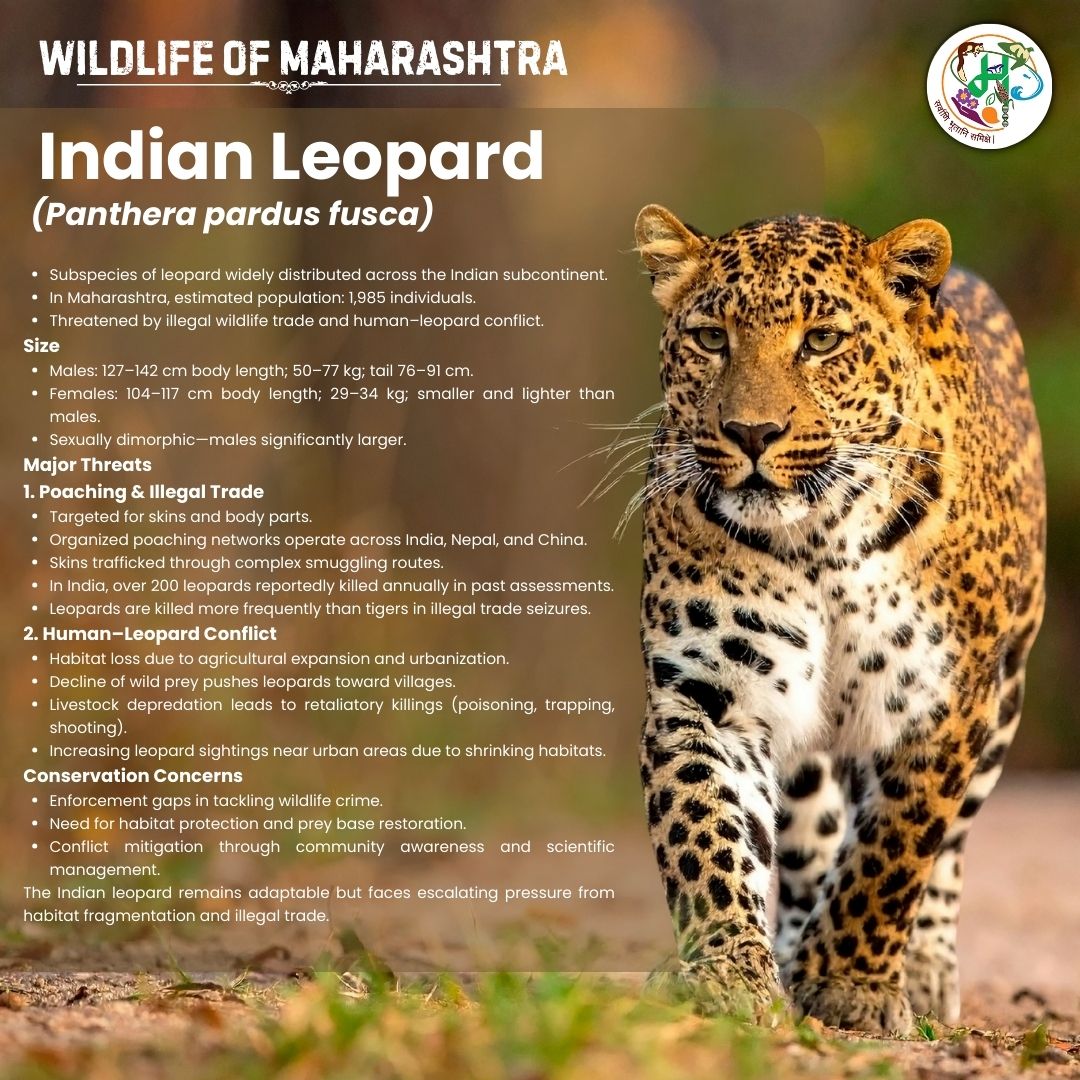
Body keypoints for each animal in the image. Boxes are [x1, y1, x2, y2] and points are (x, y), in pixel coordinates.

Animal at [633, 204, 1045, 1034]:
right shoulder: (708, 693)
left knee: (948, 852)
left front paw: (851, 983)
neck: (820, 537)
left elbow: (895, 852)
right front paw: (729, 972)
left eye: (821, 340)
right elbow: (704, 829)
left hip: (1004, 701)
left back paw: (922, 973)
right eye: (711, 338)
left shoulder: (943, 703)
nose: (751, 433)